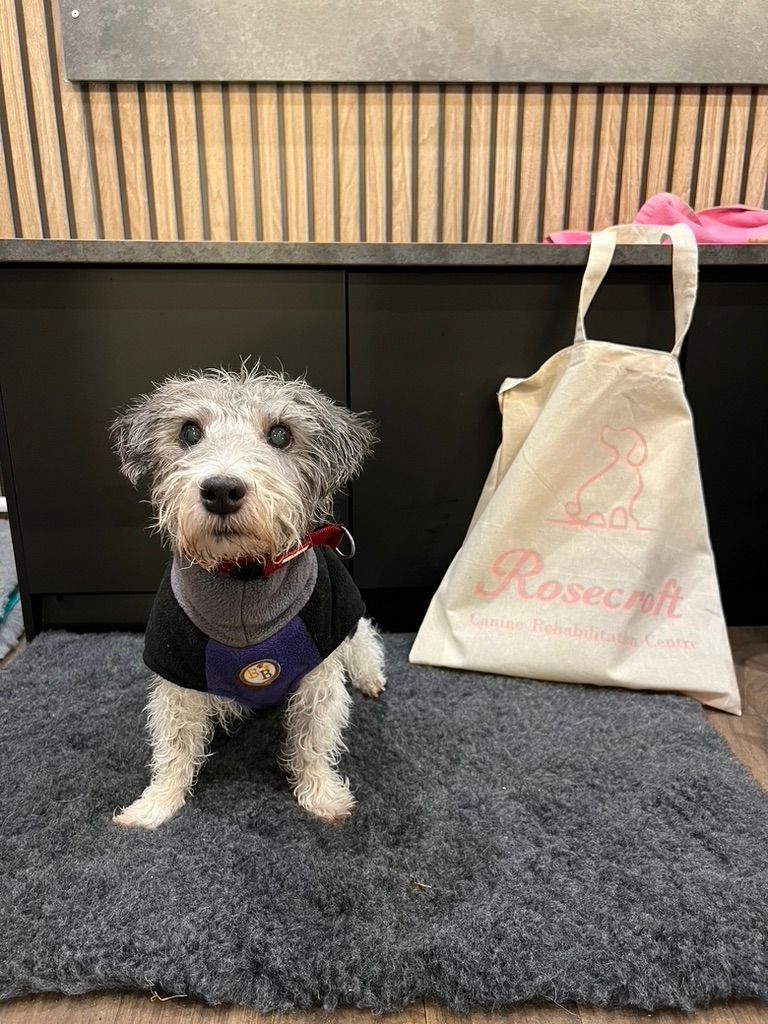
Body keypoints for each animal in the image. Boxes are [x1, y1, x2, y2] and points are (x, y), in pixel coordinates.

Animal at [109, 364, 385, 827]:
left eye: (280, 434)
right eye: (189, 432)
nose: (221, 489)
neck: (243, 578)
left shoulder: (320, 666)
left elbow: (313, 739)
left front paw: (321, 796)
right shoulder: (174, 670)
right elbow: (174, 746)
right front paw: (155, 805)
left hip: (348, 617)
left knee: (363, 639)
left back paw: (371, 678)